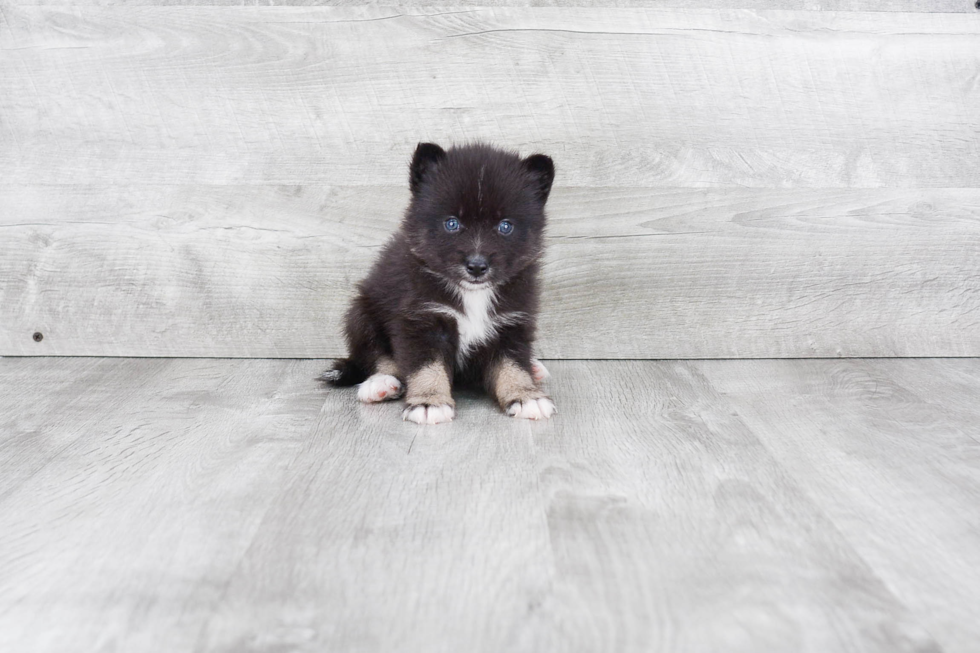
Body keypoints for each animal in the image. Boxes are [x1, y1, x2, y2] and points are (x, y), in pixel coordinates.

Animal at [326, 142, 556, 422]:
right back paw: (382, 382)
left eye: (505, 226)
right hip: (361, 313)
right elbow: (426, 365)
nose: (476, 266)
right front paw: (429, 402)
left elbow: (512, 364)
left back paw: (534, 369)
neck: (472, 293)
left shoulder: (511, 321)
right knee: (376, 353)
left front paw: (525, 395)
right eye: (452, 223)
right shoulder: (421, 318)